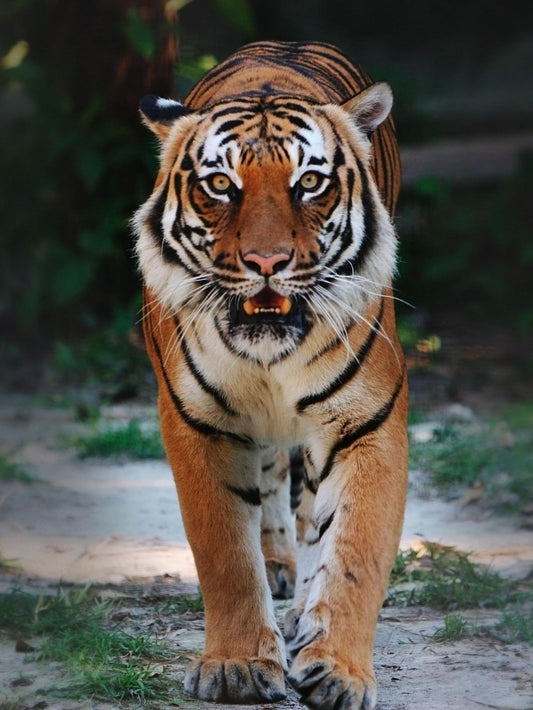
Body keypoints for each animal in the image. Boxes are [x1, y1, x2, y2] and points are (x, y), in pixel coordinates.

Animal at [133, 40, 408, 710]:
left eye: (309, 182)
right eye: (220, 185)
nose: (266, 262)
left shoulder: (368, 423)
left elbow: (355, 551)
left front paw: (338, 670)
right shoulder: (199, 422)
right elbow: (225, 554)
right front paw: (236, 666)